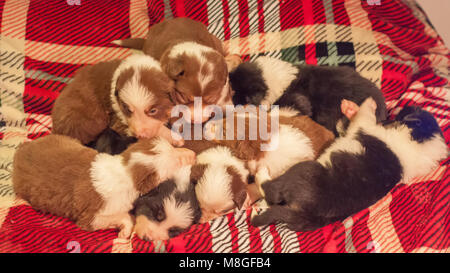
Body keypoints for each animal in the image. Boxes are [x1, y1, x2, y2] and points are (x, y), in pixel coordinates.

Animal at [12, 135, 194, 237]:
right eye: (176, 162)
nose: (192, 154)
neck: (127, 169)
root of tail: (21, 149)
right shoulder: (91, 218)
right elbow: (123, 216)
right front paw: (125, 230)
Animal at [251, 99, 448, 231]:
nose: (403, 107)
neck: (416, 146)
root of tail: (306, 213)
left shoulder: (365, 126)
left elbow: (365, 114)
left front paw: (367, 103)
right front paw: (349, 108)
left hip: (302, 171)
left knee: (270, 189)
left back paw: (261, 174)